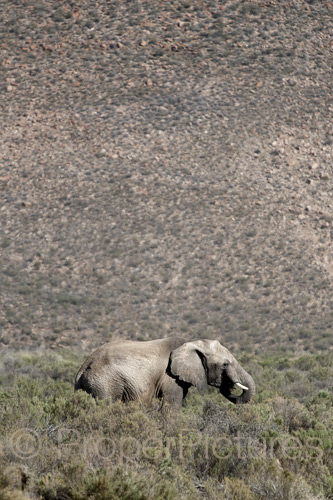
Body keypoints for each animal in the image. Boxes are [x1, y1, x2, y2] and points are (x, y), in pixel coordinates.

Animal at [73, 338, 254, 408]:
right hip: (105, 384)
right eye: (225, 364)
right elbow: (171, 407)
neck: (190, 343)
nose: (229, 385)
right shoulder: (170, 378)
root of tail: (82, 370)